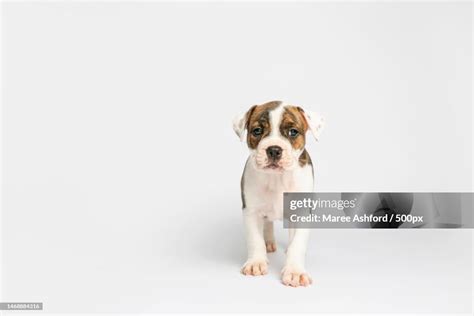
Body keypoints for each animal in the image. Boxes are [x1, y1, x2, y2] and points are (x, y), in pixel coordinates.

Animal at [232, 100, 322, 286]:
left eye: (293, 132)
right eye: (257, 131)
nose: (274, 149)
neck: (277, 178)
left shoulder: (301, 214)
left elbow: (297, 244)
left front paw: (294, 271)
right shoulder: (251, 211)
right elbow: (255, 239)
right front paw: (256, 262)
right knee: (267, 224)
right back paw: (268, 242)